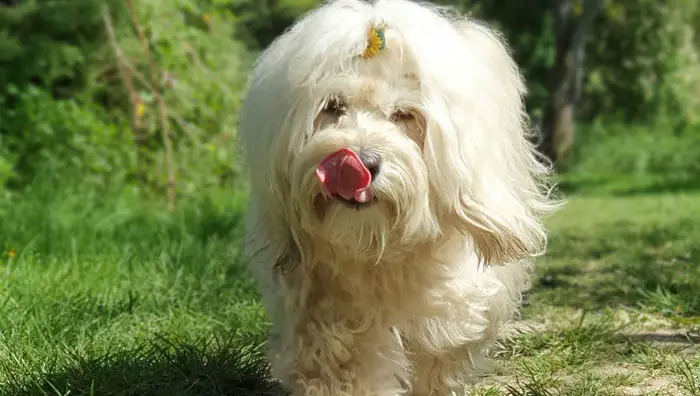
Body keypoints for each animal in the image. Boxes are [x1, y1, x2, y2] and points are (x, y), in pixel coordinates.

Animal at [238, 0, 560, 394]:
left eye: (404, 114)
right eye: (332, 107)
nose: (359, 163)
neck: (376, 246)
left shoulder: (452, 298)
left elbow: (439, 351)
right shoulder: (320, 298)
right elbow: (339, 357)